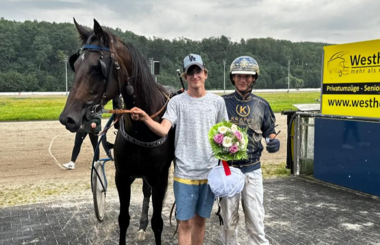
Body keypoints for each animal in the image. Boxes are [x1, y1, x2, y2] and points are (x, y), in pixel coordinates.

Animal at [59, 18, 175, 244]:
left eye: (97, 67)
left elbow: (158, 222)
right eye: (75, 65)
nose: (68, 118)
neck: (143, 130)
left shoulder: (160, 178)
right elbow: (123, 219)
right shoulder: (122, 176)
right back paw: (141, 226)